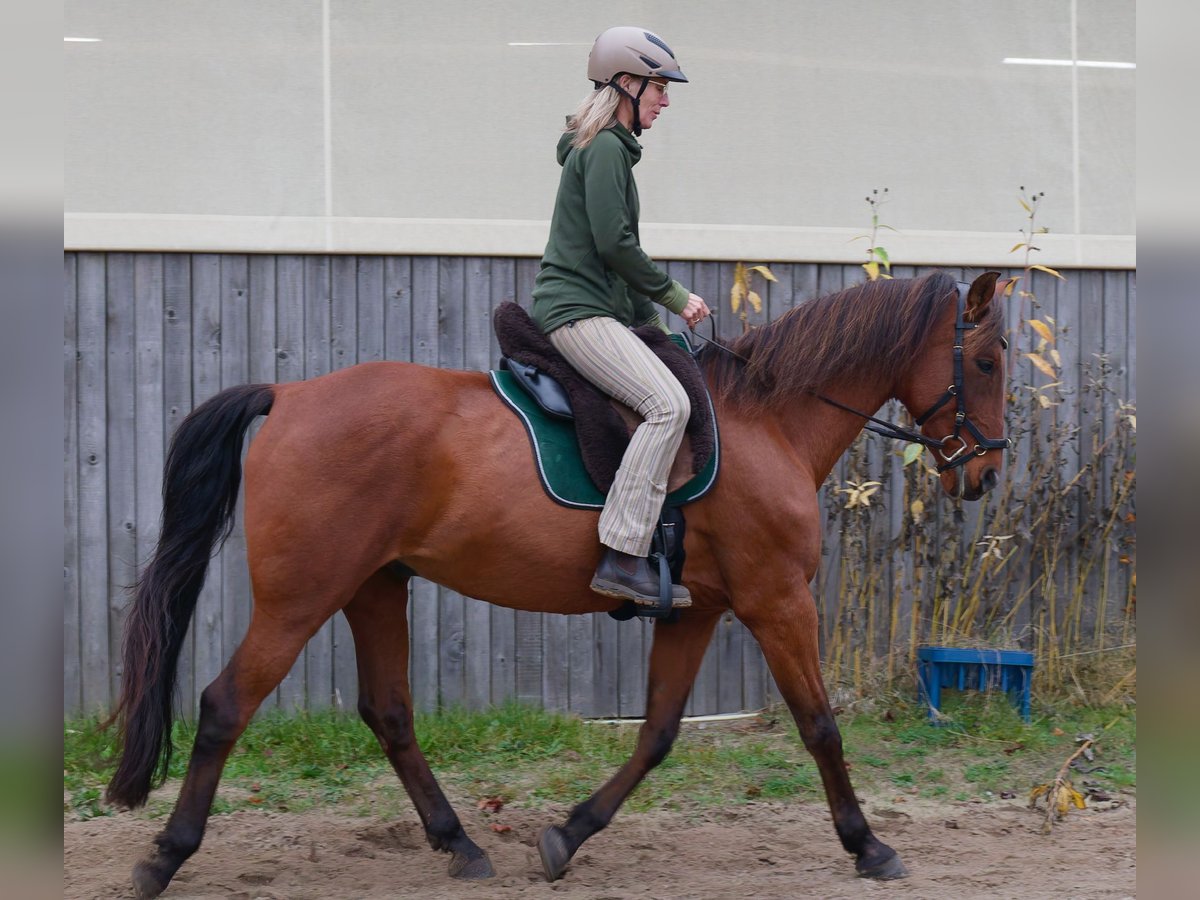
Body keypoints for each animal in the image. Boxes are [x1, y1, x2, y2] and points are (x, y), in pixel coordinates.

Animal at [103, 267, 1008, 897]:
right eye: (988, 359)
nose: (986, 475)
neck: (767, 419)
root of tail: (288, 394)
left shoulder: (695, 612)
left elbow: (658, 734)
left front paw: (568, 835)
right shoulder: (777, 600)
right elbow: (819, 726)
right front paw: (869, 845)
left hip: (374, 587)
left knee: (389, 714)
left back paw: (460, 843)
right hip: (302, 597)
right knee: (226, 704)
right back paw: (165, 857)